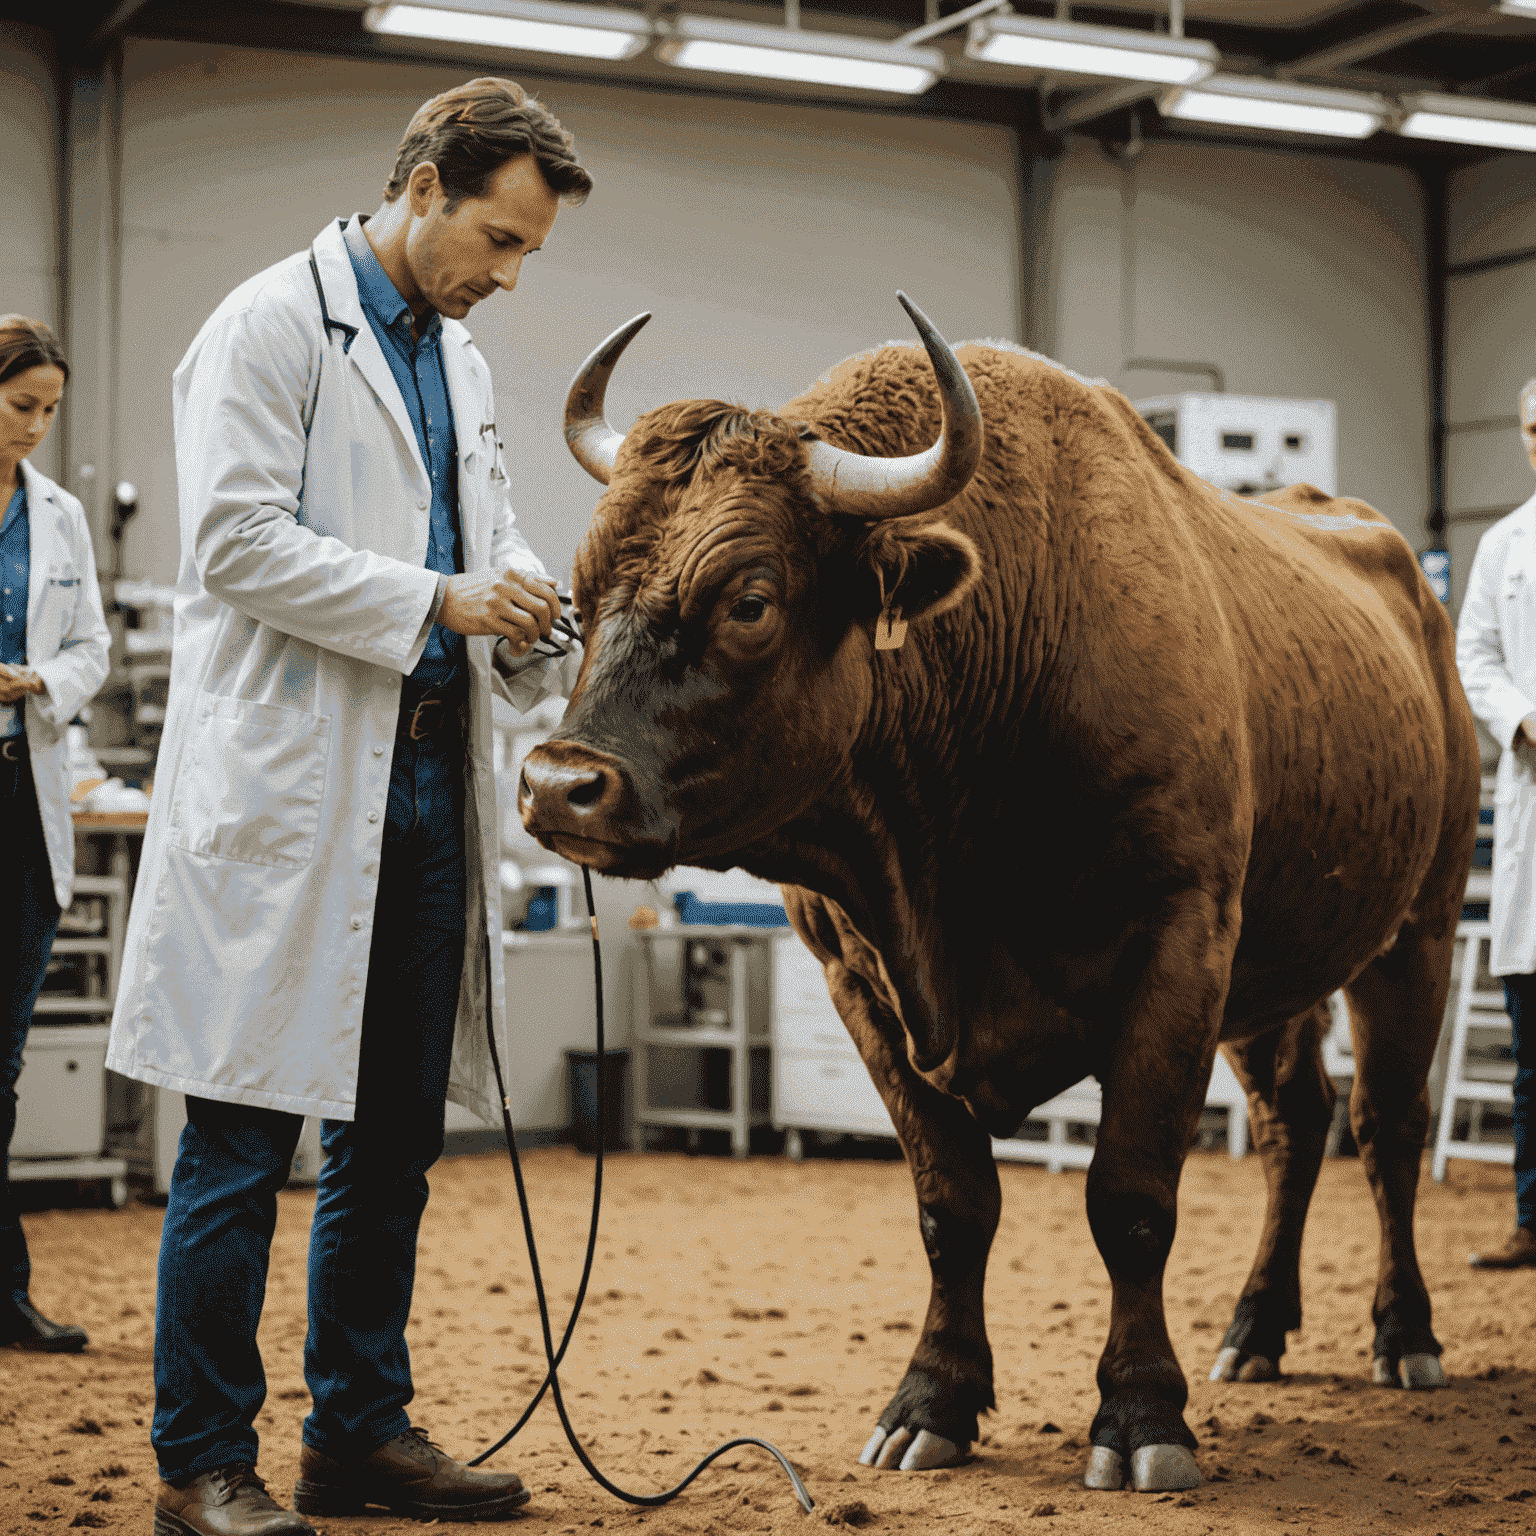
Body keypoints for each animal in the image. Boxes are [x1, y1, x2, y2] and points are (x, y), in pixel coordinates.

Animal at [522, 296, 1480, 1486]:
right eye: (579, 592)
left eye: (749, 599)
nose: (559, 783)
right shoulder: (861, 979)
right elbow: (953, 1204)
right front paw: (931, 1399)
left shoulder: (1178, 946)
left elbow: (1131, 1199)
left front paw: (1141, 1417)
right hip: (1277, 970)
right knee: (1294, 1125)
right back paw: (1255, 1329)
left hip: (1416, 934)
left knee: (1387, 1128)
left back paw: (1407, 1334)